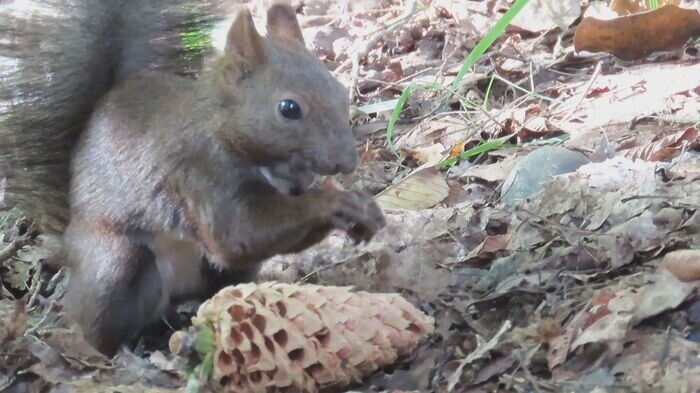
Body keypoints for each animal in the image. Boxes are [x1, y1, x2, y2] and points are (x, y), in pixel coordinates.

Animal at [0, 0, 386, 356]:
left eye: (339, 91)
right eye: (289, 109)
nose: (346, 162)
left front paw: (362, 208)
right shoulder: (200, 173)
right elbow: (238, 235)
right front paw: (336, 204)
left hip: (217, 273)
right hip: (114, 263)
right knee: (97, 326)